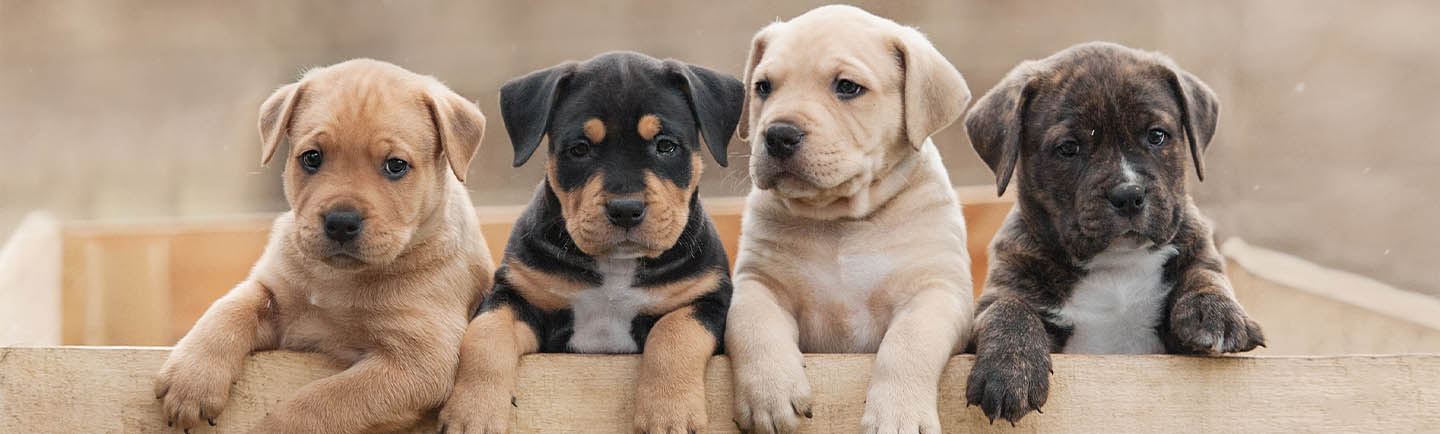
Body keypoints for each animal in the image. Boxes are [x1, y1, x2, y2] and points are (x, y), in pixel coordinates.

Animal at [151, 58, 489, 432]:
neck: (337, 280)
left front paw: (275, 427)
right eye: (312, 158)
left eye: (396, 165)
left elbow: (323, 401)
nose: (341, 222)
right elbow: (229, 310)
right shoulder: (274, 295)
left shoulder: (418, 360)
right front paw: (192, 378)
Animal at [437, 51, 743, 432]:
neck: (616, 266)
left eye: (666, 146)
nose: (625, 210)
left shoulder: (706, 300)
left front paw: (668, 414)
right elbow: (485, 336)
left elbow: (674, 333)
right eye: (580, 149)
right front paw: (471, 413)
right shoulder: (516, 296)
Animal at [731, 4, 979, 432]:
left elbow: (909, 341)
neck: (841, 221)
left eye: (847, 87)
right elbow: (752, 325)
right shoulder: (758, 282)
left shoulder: (937, 290)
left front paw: (899, 412)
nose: (778, 134)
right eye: (763, 87)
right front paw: (769, 394)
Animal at [967, 41, 1261, 421]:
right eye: (1069, 148)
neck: (1115, 264)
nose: (1129, 194)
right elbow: (1008, 309)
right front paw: (1007, 371)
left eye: (1156, 136)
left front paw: (1217, 313)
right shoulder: (999, 293)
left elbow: (1205, 275)